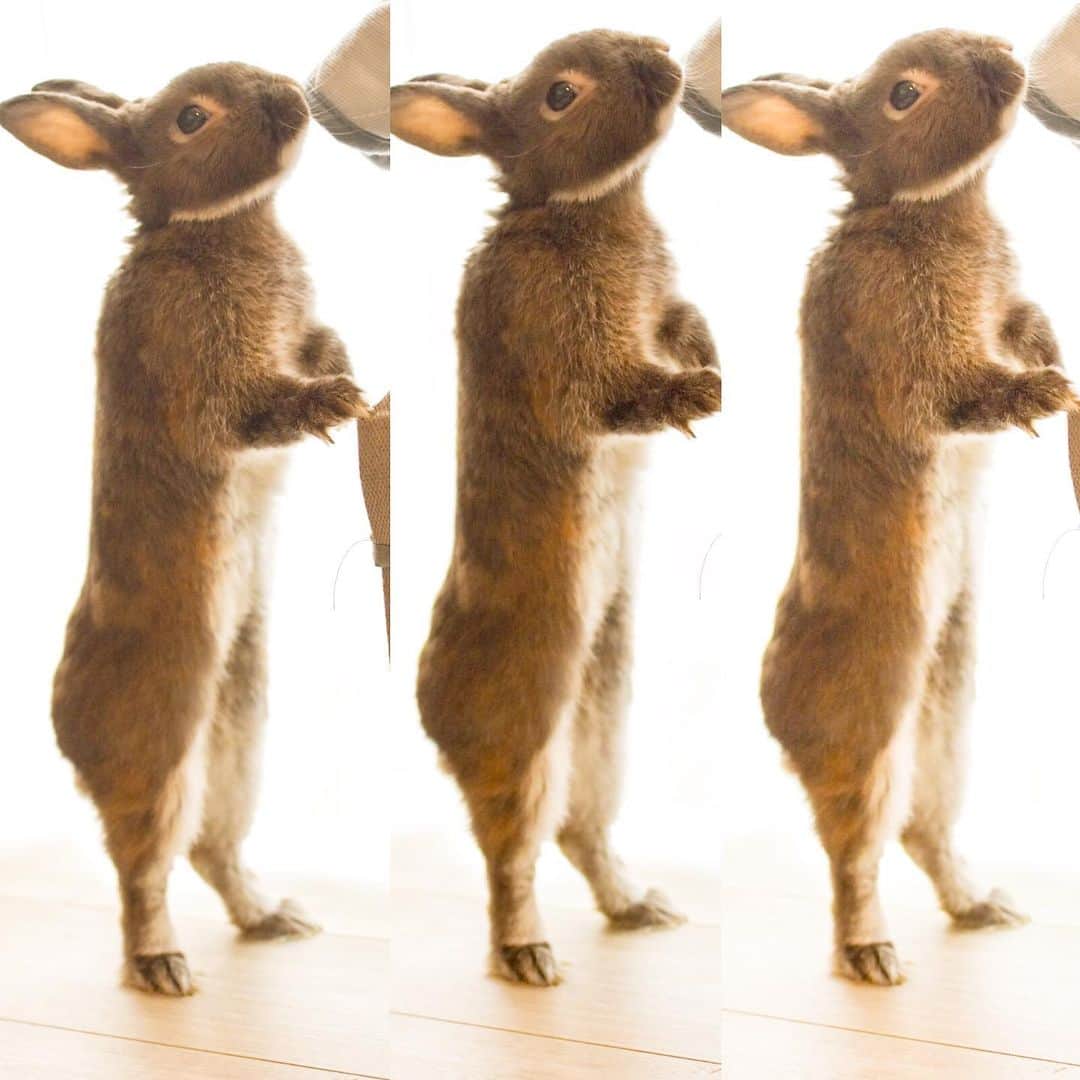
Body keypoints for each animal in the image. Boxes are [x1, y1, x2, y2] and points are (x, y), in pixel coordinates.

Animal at [0, 63, 366, 995]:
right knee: (143, 867)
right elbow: (257, 409)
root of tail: (64, 733)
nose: (293, 102)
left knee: (211, 848)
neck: (214, 230)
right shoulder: (211, 381)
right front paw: (337, 404)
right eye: (191, 119)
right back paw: (162, 965)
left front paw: (345, 374)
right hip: (162, 746)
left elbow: (317, 344)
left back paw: (276, 920)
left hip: (237, 738)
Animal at [392, 30, 722, 986]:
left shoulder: (661, 307)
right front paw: (701, 396)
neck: (579, 212)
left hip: (602, 717)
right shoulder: (574, 349)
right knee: (512, 852)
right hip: (528, 729)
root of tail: (432, 717)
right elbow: (619, 392)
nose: (663, 60)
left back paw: (643, 909)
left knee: (581, 831)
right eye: (561, 95)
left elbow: (681, 324)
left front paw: (711, 364)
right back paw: (529, 955)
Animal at [684, 28, 1079, 985]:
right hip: (870, 734)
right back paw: (872, 955)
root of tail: (777, 719)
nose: (1008, 62)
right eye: (905, 94)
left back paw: (986, 909)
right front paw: (1045, 395)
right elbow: (966, 392)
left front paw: (1056, 364)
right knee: (854, 849)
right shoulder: (920, 353)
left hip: (942, 729)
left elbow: (1026, 325)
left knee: (922, 831)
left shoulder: (1005, 309)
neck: (918, 211)